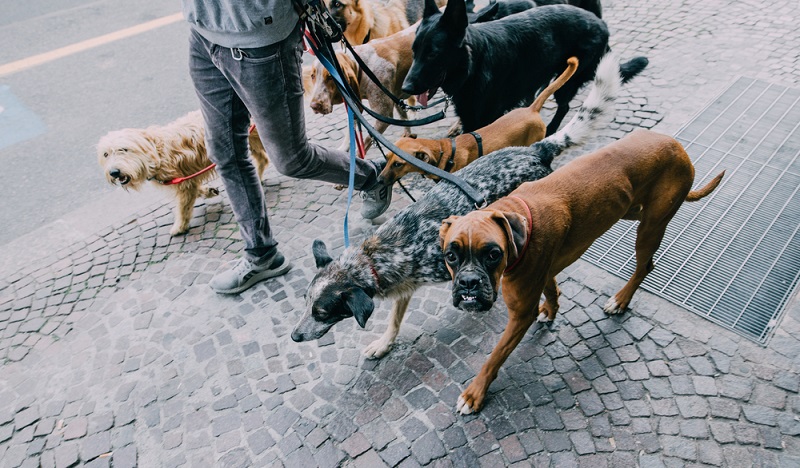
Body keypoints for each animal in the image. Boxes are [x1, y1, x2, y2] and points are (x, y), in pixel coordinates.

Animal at [97, 111, 270, 236]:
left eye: (124, 149)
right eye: (106, 154)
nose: (113, 172)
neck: (156, 151)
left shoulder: (183, 184)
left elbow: (182, 208)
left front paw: (179, 227)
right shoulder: (185, 179)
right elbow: (194, 189)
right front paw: (208, 191)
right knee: (262, 158)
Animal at [404, 0, 648, 134]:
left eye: (433, 53)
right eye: (414, 51)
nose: (405, 89)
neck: (474, 65)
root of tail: (602, 24)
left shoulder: (483, 121)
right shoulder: (471, 119)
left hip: (567, 82)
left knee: (564, 107)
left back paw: (550, 130)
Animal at [438, 129, 724, 414]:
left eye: (493, 255)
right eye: (450, 256)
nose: (468, 281)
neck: (519, 224)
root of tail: (677, 146)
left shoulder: (520, 314)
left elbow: (495, 356)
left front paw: (475, 394)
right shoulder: (544, 273)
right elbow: (552, 291)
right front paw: (550, 311)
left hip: (650, 228)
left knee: (644, 266)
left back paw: (621, 300)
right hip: (632, 210)